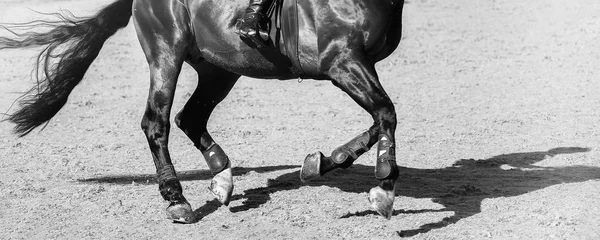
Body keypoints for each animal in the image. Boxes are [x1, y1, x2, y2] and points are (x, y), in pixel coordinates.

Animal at [0, 0, 406, 223]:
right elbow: (386, 113)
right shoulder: (341, 61)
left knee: (190, 117)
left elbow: (381, 118)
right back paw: (176, 200)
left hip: (221, 68)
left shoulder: (355, 65)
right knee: (157, 122)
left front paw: (324, 161)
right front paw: (384, 188)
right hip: (167, 51)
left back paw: (222, 177)